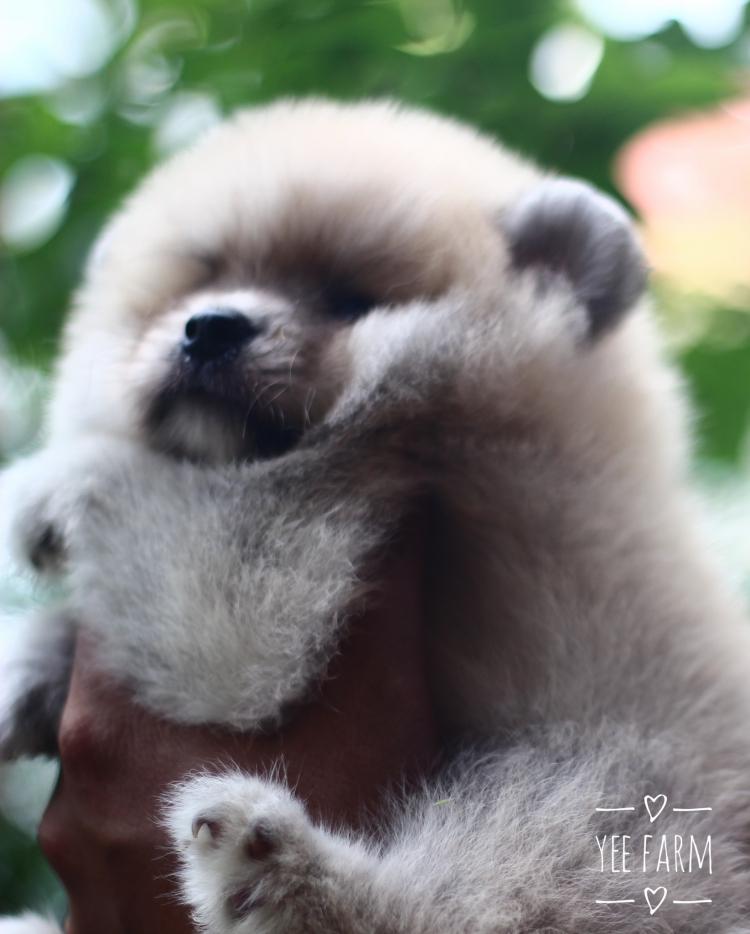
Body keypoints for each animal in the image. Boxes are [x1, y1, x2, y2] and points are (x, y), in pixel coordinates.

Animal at [1, 99, 750, 933]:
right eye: (193, 285)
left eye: (349, 300)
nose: (210, 326)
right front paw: (24, 674)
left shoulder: (337, 532)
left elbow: (208, 578)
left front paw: (45, 483)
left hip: (622, 790)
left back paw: (285, 875)